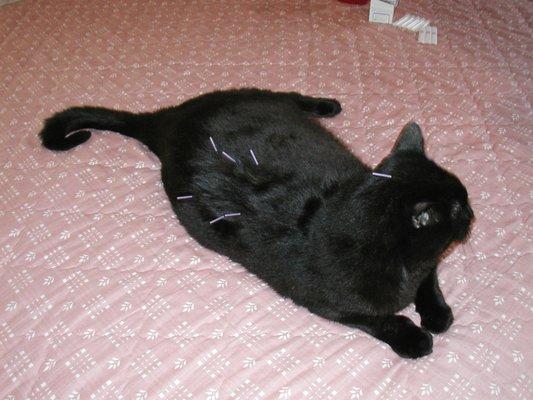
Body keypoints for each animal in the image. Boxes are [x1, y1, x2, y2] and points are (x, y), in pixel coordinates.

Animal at [41, 89, 474, 358]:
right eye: (457, 209)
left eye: (465, 201)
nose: (473, 214)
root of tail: (168, 123)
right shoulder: (325, 302)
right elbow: (378, 319)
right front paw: (414, 337)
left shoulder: (423, 269)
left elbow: (429, 283)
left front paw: (437, 315)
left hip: (258, 98)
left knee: (288, 97)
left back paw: (327, 105)